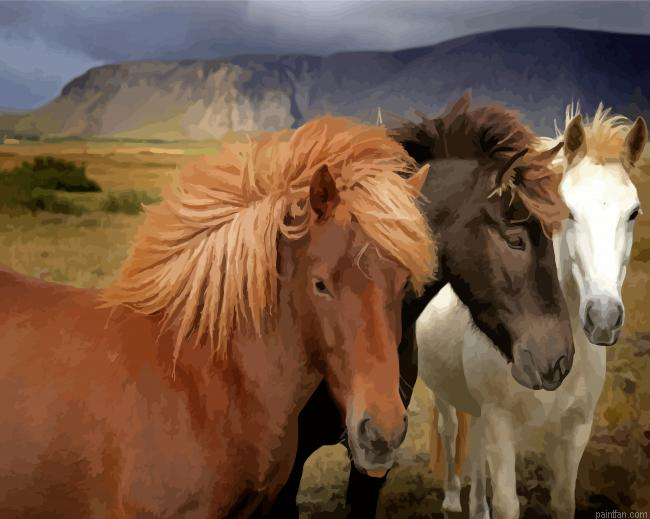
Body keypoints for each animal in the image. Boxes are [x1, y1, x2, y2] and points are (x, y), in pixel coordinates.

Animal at [421, 104, 647, 518]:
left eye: (634, 213)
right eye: (568, 211)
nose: (603, 318)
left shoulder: (575, 429)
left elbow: (562, 502)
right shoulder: (501, 424)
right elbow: (508, 504)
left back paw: (477, 507)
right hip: (440, 393)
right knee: (450, 430)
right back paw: (452, 499)